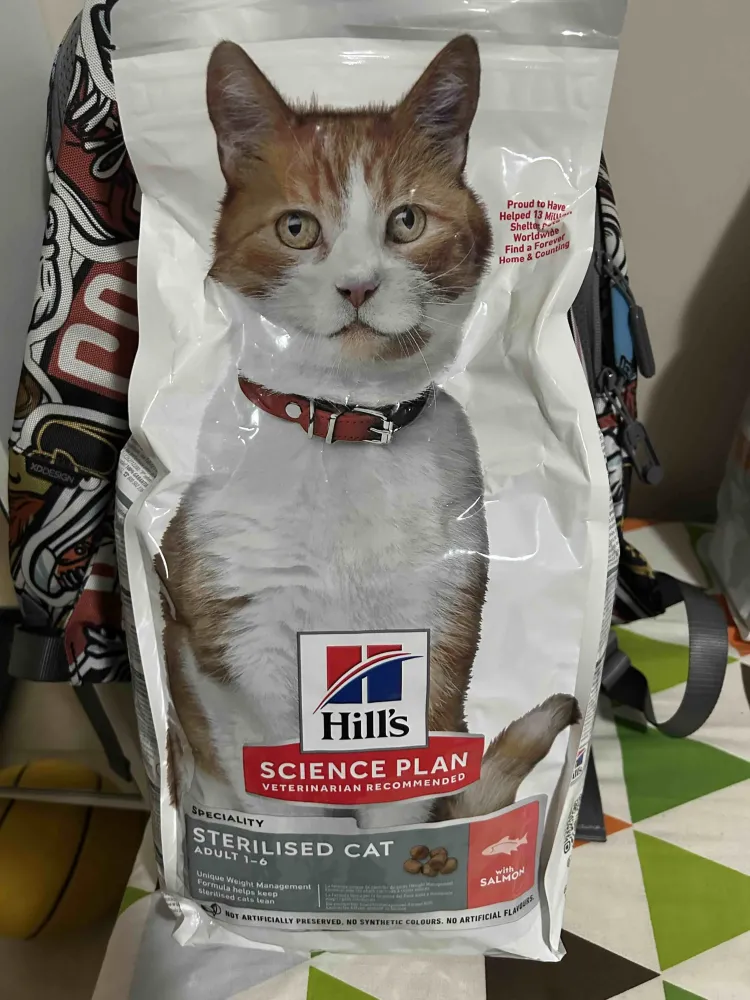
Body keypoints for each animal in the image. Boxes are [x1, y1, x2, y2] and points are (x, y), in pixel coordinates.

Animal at [157, 35, 580, 829]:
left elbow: (393, 819)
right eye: (297, 228)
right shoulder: (241, 680)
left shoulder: (428, 674)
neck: (344, 430)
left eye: (406, 222)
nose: (358, 285)